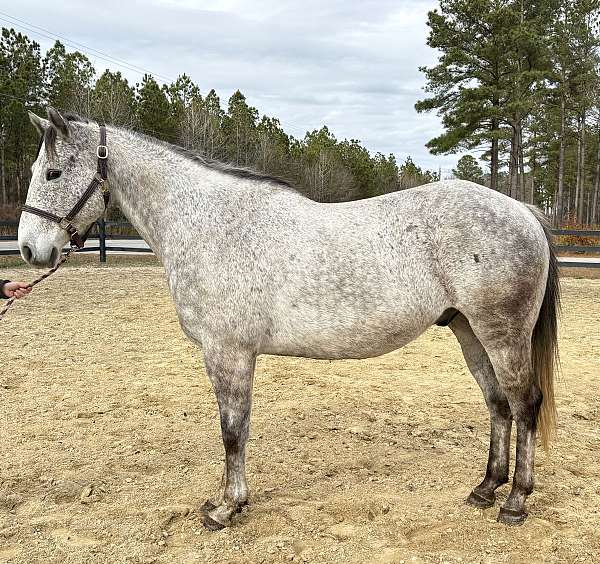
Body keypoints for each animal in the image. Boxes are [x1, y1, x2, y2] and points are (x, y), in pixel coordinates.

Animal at [19, 109, 564, 528]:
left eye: (52, 174)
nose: (28, 249)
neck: (212, 225)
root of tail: (522, 210)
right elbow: (234, 430)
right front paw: (225, 500)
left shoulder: (228, 353)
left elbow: (232, 430)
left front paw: (227, 509)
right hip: (469, 331)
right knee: (497, 405)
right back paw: (485, 488)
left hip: (502, 334)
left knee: (524, 405)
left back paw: (515, 502)